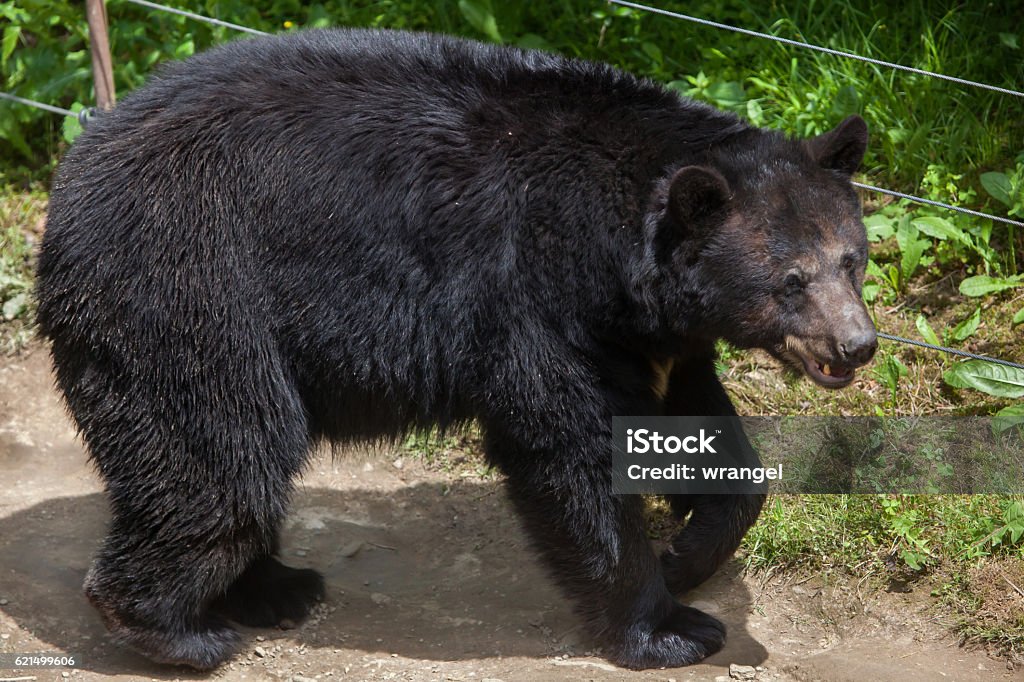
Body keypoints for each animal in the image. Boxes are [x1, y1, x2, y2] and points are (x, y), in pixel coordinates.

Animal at [36, 27, 876, 667]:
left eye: (852, 259)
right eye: (790, 279)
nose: (858, 343)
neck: (621, 256)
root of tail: (68, 186)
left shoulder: (654, 337)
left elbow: (693, 429)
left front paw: (689, 555)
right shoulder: (539, 296)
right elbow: (569, 448)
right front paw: (668, 626)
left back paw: (273, 588)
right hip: (190, 295)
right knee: (224, 454)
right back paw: (180, 630)